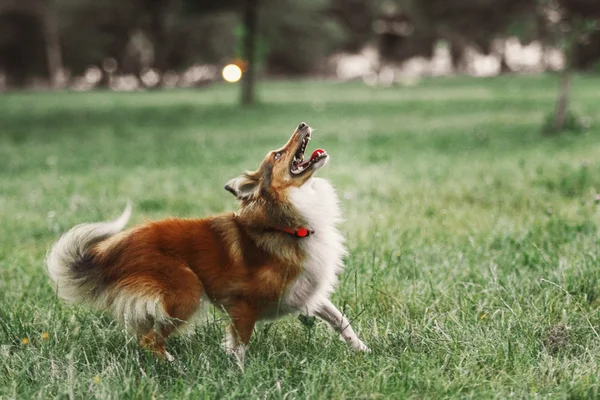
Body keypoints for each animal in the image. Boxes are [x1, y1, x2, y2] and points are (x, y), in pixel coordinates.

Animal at [48, 122, 370, 362]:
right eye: (277, 155)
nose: (302, 124)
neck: (286, 224)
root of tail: (109, 251)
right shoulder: (242, 305)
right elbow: (240, 345)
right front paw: (239, 374)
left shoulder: (304, 291)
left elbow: (340, 319)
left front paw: (362, 349)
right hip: (186, 291)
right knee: (150, 339)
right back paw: (172, 365)